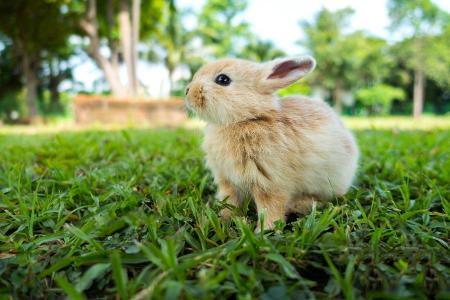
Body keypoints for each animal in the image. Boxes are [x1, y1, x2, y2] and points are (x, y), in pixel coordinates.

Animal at [184, 55, 358, 230]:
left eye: (222, 79)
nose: (187, 91)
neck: (248, 118)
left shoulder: (270, 184)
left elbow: (270, 209)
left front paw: (264, 231)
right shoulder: (228, 182)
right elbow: (229, 204)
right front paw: (220, 221)